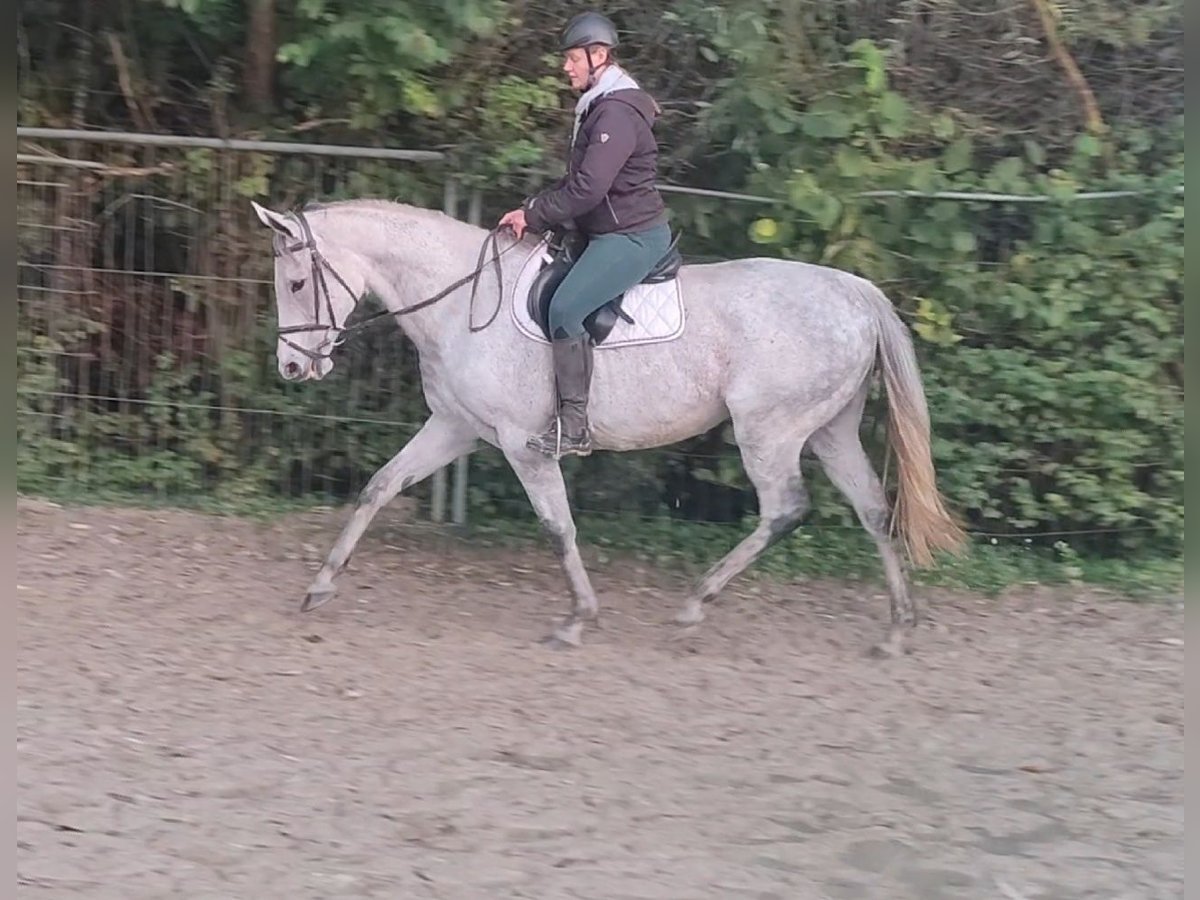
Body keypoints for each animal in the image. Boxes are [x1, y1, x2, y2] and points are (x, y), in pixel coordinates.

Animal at [250, 196, 964, 657]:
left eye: (295, 282)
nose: (292, 366)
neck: (462, 303)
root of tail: (856, 293)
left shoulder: (523, 445)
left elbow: (557, 527)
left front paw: (576, 619)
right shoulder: (454, 426)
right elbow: (379, 486)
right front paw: (320, 586)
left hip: (771, 432)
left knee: (786, 510)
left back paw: (694, 605)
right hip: (830, 430)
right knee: (873, 510)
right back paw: (897, 629)